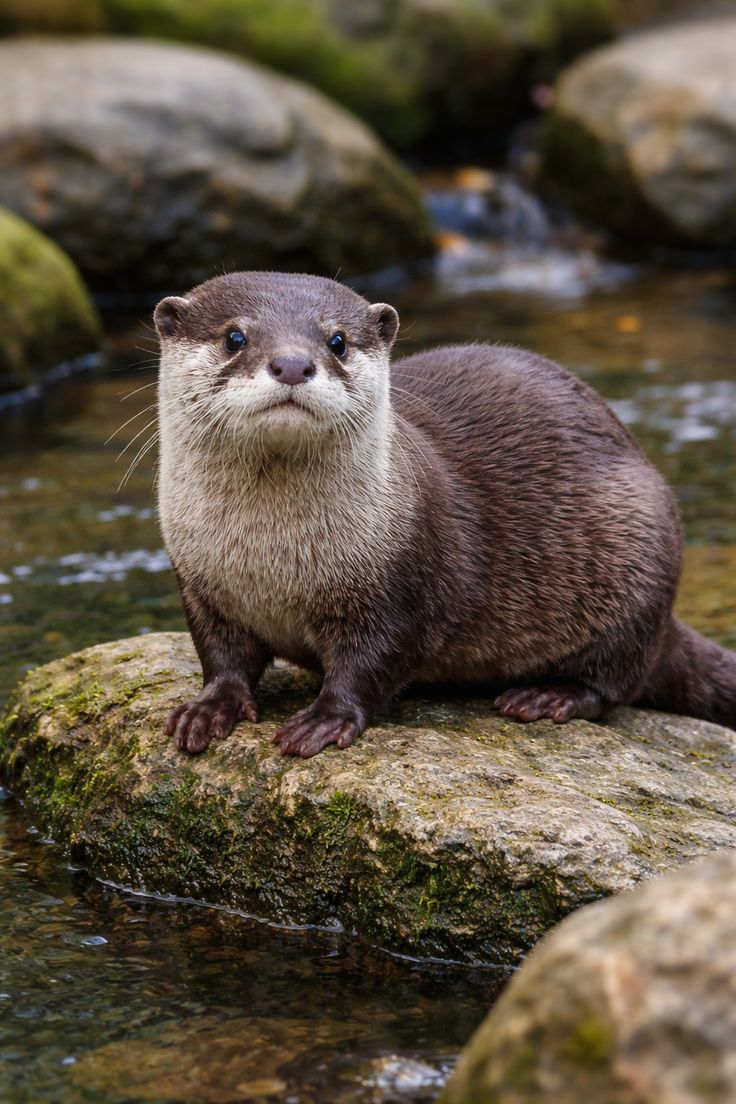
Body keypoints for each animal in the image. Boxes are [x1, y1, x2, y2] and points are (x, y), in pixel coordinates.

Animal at [154, 271, 736, 757]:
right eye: (234, 337)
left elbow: (373, 662)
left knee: (616, 678)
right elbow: (222, 658)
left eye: (337, 340)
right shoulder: (199, 581)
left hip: (640, 547)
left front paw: (324, 719)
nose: (294, 364)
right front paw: (208, 710)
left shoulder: (406, 584)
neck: (270, 560)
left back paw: (548, 696)